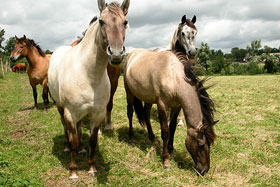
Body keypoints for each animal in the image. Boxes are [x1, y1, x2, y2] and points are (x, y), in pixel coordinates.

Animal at [48, 0, 130, 178]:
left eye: (125, 22)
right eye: (101, 21)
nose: (116, 54)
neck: (88, 75)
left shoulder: (97, 114)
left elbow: (93, 140)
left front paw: (92, 167)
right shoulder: (70, 113)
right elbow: (72, 139)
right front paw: (73, 171)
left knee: (78, 129)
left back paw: (82, 149)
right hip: (60, 107)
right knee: (65, 127)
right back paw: (67, 147)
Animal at [124, 35, 217, 177]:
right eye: (200, 144)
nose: (204, 170)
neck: (173, 76)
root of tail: (131, 54)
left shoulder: (177, 106)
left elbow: (172, 127)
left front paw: (171, 148)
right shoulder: (162, 105)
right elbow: (165, 132)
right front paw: (166, 160)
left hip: (148, 98)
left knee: (146, 113)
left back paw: (152, 137)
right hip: (129, 92)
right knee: (130, 112)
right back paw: (131, 136)